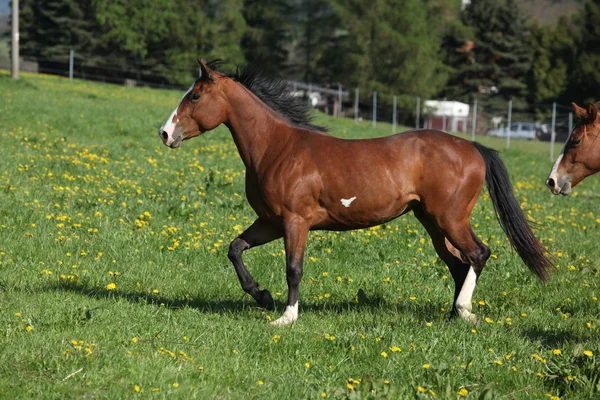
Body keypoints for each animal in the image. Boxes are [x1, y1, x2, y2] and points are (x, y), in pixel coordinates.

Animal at [156, 61, 552, 326]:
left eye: (195, 95)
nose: (164, 133)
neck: (277, 148)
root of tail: (473, 147)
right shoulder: (270, 221)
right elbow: (235, 249)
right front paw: (263, 296)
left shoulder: (295, 222)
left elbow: (294, 269)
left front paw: (286, 317)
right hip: (431, 222)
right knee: (458, 263)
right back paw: (452, 315)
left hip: (450, 218)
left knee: (478, 254)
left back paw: (464, 312)